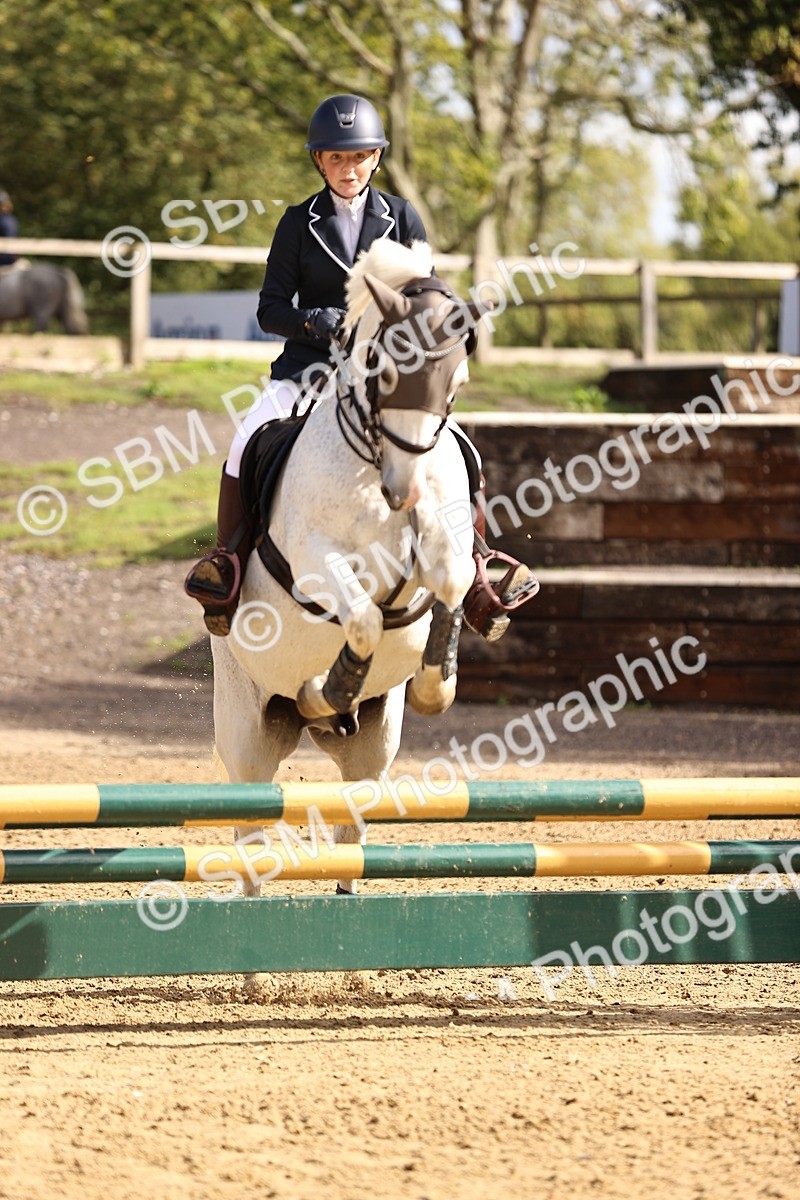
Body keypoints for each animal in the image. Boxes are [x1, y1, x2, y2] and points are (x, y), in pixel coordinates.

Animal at [211, 239, 486, 897]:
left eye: (456, 381)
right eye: (385, 369)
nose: (404, 491)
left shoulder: (444, 544)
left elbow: (452, 580)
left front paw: (437, 686)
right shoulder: (315, 561)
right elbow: (362, 616)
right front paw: (327, 687)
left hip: (375, 740)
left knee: (351, 827)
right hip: (246, 727)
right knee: (249, 826)